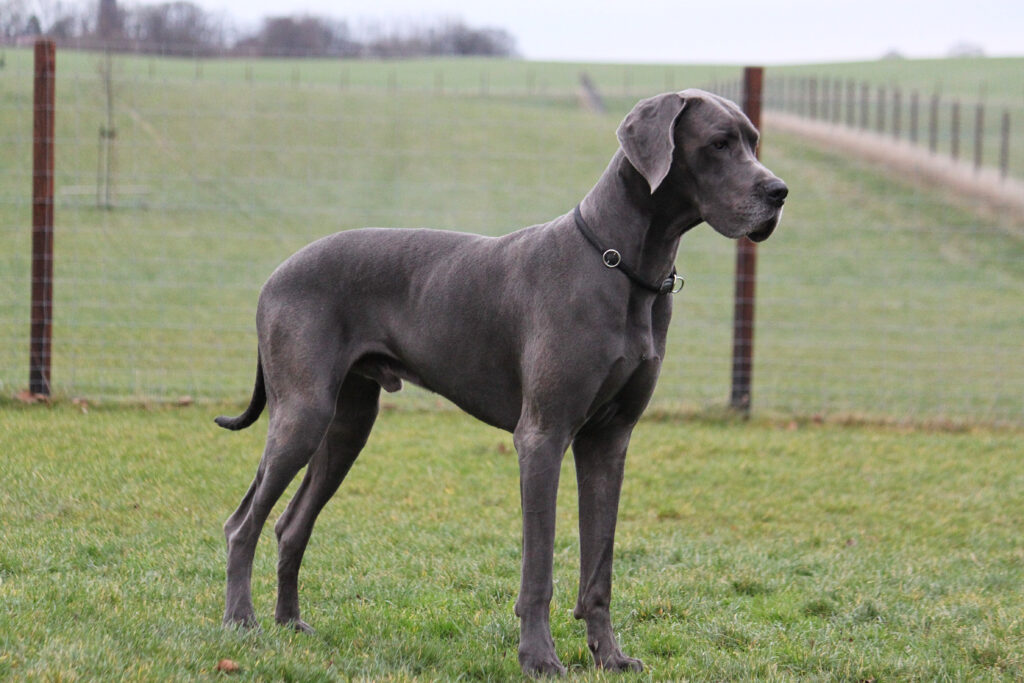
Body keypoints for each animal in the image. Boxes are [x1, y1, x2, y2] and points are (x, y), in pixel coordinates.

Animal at [220, 88, 786, 675]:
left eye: (754, 141)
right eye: (719, 143)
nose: (779, 193)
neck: (621, 266)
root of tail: (274, 275)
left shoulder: (609, 441)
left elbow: (600, 565)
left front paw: (609, 655)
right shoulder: (542, 437)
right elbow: (538, 566)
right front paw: (538, 657)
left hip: (348, 424)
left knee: (290, 524)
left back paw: (290, 622)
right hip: (303, 414)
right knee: (242, 523)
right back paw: (242, 622)